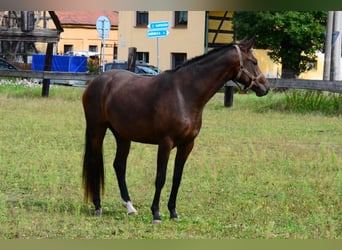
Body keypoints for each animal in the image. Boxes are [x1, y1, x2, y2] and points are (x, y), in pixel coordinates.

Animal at [81, 36, 268, 223]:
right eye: (254, 61)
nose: (265, 87)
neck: (184, 93)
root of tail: (96, 82)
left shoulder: (187, 144)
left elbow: (177, 178)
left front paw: (173, 212)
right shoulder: (166, 143)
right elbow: (161, 177)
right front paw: (156, 213)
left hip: (122, 135)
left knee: (119, 165)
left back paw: (130, 207)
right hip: (97, 130)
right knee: (95, 163)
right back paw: (98, 206)